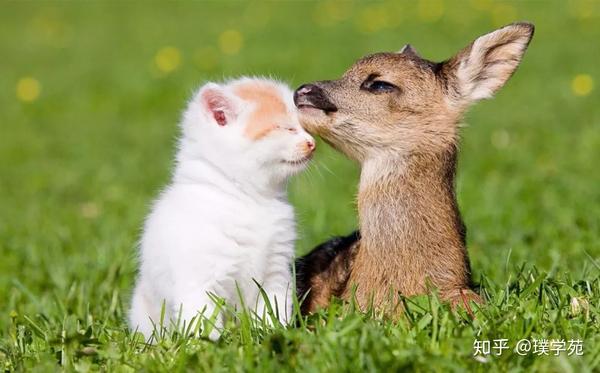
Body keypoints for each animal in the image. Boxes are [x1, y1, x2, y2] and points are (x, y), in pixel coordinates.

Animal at [129, 77, 316, 338]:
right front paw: (207, 345)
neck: (249, 199)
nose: (312, 143)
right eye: (287, 128)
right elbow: (202, 321)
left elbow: (272, 310)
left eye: (305, 127)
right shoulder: (200, 280)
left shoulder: (276, 272)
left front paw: (272, 335)